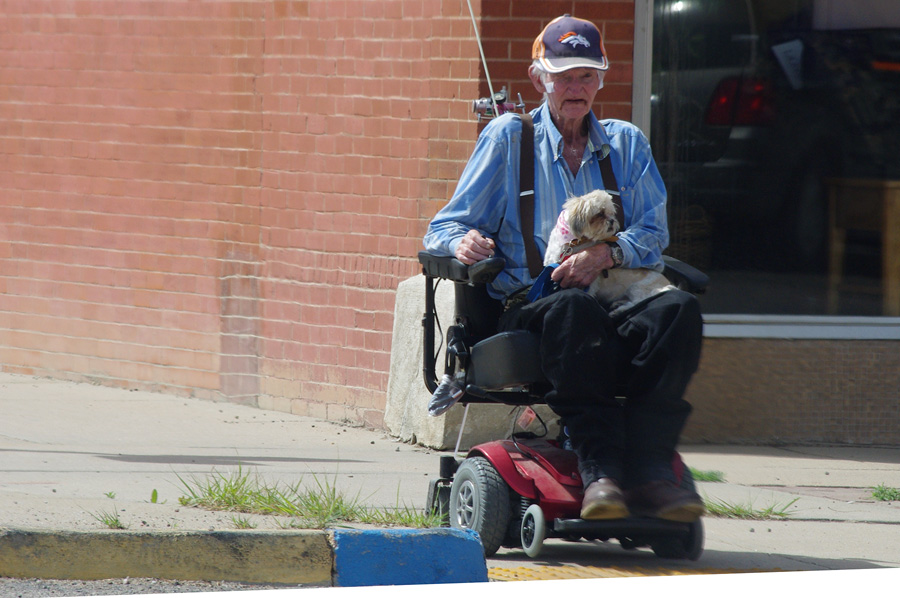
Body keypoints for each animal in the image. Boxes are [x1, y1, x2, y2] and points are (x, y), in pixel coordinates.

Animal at [540, 191, 676, 318]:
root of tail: (668, 285)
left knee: (639, 301)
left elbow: (588, 293)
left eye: (611, 213)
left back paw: (619, 310)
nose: (611, 221)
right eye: (600, 213)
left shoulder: (589, 281)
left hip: (637, 287)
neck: (573, 242)